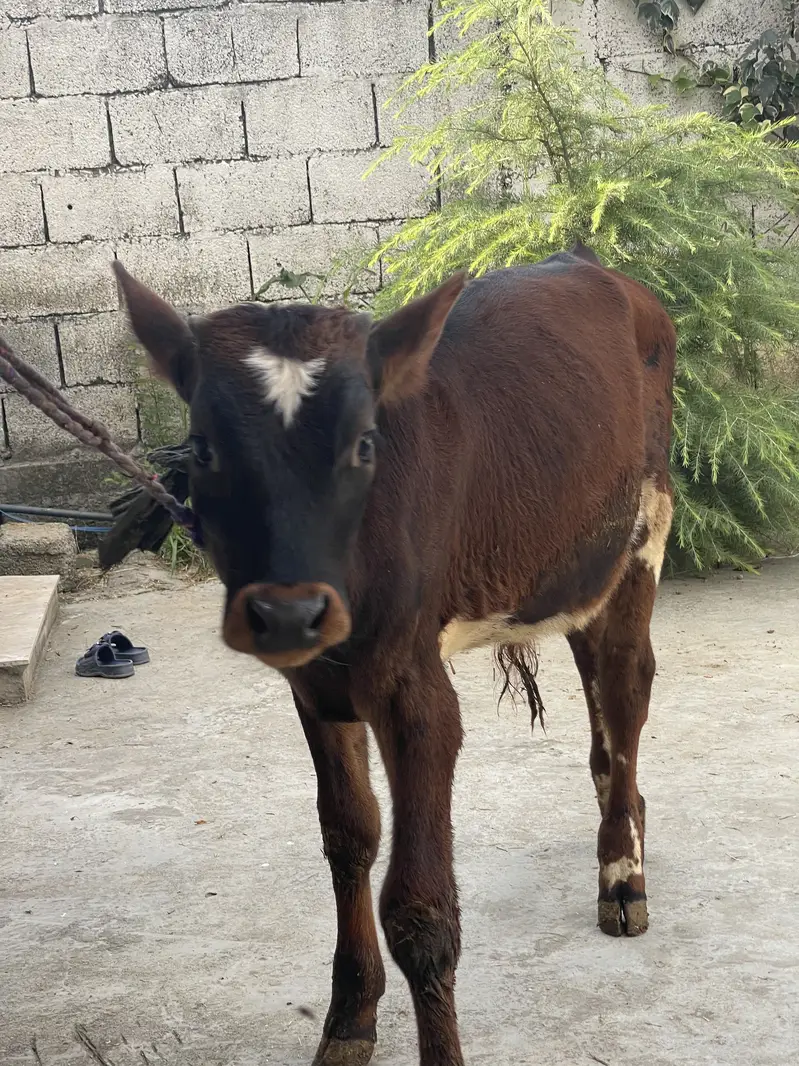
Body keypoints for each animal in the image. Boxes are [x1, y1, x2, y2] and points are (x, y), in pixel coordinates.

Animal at [113, 243, 676, 1066]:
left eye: (363, 444)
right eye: (203, 450)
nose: (288, 611)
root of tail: (589, 262)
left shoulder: (416, 694)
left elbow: (418, 906)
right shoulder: (317, 685)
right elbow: (349, 837)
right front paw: (349, 1020)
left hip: (645, 526)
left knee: (627, 685)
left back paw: (623, 878)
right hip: (572, 562)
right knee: (599, 692)